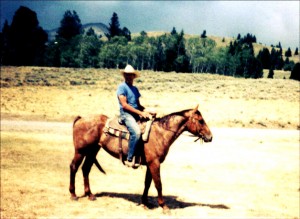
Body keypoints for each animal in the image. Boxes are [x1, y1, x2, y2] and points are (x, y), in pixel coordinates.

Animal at [69, 105, 212, 211]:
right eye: (200, 120)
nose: (210, 137)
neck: (160, 133)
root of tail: (81, 118)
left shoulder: (150, 164)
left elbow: (147, 183)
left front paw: (145, 203)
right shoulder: (154, 163)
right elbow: (158, 184)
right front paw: (164, 206)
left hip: (92, 151)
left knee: (86, 169)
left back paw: (90, 195)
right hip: (80, 151)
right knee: (74, 167)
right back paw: (73, 195)